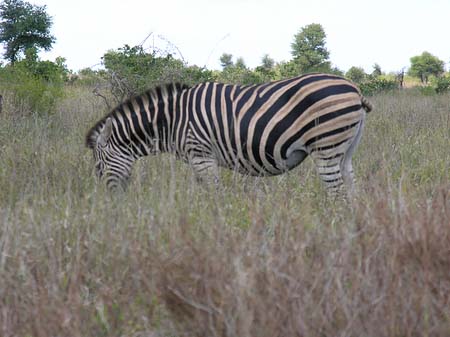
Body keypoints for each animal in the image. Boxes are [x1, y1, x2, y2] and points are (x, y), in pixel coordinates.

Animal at [85, 73, 372, 194]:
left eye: (99, 167)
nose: (111, 202)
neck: (172, 120)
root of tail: (354, 88)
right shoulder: (197, 159)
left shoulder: (201, 155)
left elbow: (214, 195)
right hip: (345, 150)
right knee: (352, 188)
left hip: (326, 147)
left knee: (336, 192)